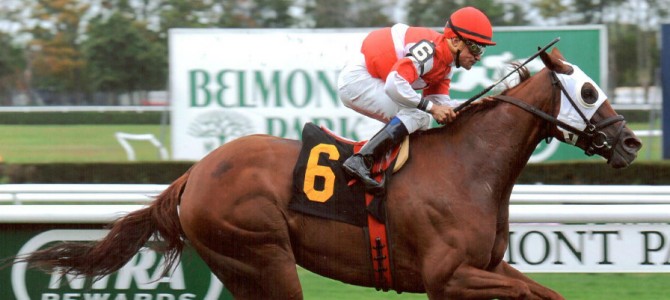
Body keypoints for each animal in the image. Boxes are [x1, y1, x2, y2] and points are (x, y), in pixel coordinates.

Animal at [10, 48, 640, 298]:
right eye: (588, 91)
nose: (631, 142)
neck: (469, 168)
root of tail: (194, 175)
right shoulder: (448, 277)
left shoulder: (486, 268)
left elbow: (547, 291)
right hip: (261, 255)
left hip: (243, 267)